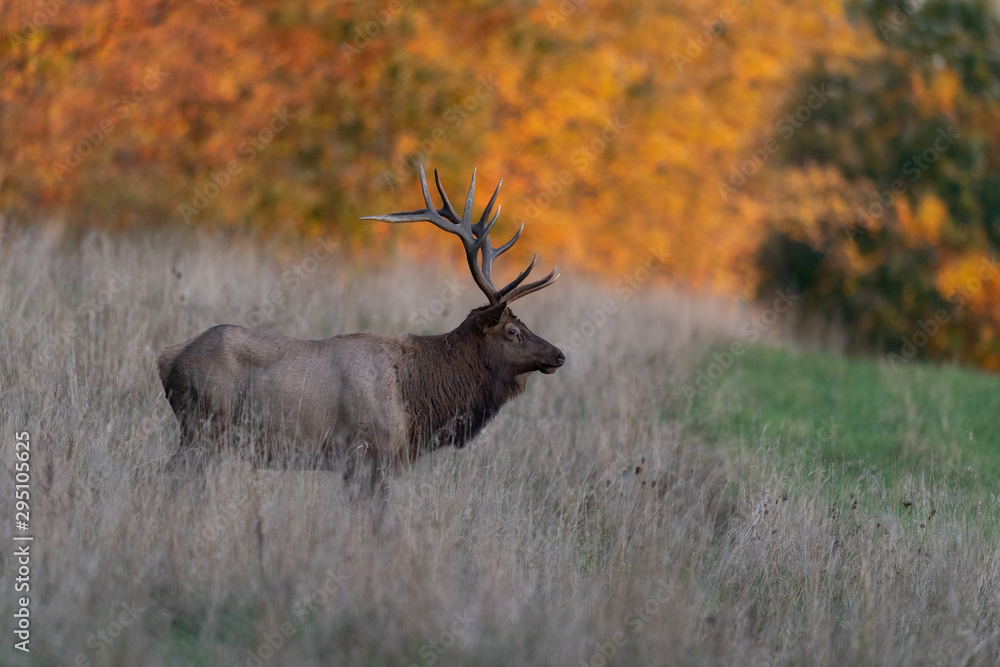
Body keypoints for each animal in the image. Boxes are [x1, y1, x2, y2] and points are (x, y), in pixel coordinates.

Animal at [157, 165, 565, 493]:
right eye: (512, 330)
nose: (559, 354)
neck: (418, 400)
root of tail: (166, 358)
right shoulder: (369, 453)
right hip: (204, 427)